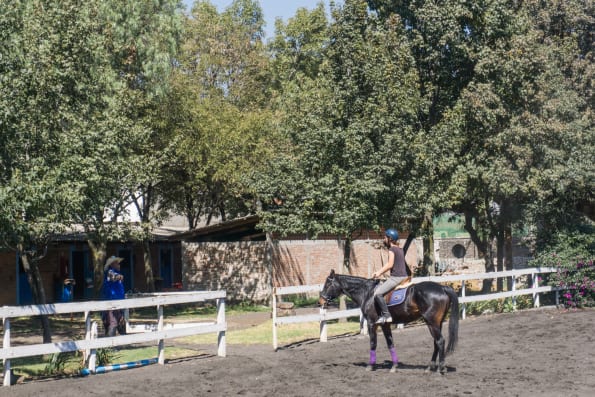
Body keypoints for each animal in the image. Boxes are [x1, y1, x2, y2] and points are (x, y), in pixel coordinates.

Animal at [316, 268, 460, 372]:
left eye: (328, 283)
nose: (320, 301)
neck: (367, 293)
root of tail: (442, 287)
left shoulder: (372, 323)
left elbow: (373, 343)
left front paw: (370, 366)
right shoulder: (385, 325)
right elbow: (390, 343)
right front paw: (394, 366)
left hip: (432, 322)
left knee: (440, 341)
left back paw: (441, 368)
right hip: (436, 323)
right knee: (436, 342)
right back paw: (430, 367)